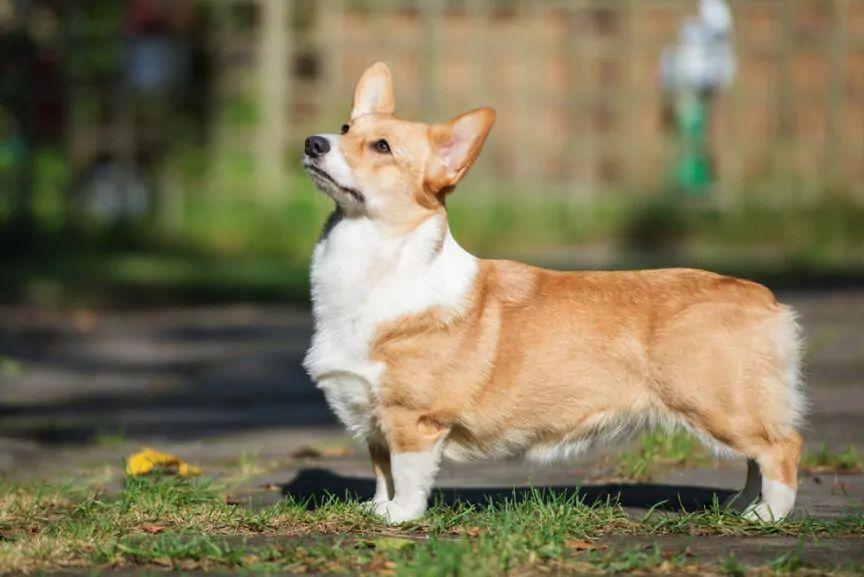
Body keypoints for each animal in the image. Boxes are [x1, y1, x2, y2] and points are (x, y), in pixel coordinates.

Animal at [302, 62, 804, 520]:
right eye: (346, 128)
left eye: (382, 146)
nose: (313, 142)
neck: (372, 259)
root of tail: (767, 300)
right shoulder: (372, 417)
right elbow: (381, 470)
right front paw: (375, 509)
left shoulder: (413, 419)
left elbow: (407, 476)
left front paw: (400, 517)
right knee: (755, 459)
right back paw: (741, 506)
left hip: (718, 405)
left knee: (781, 447)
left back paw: (769, 515)